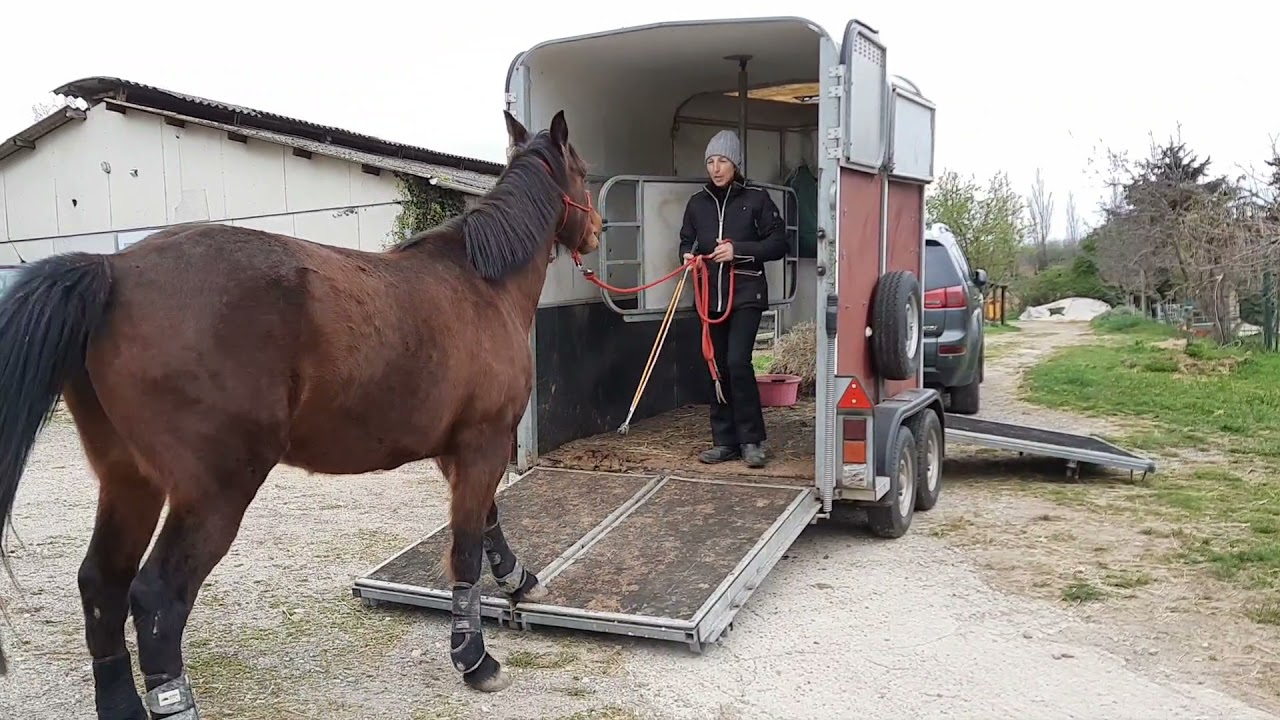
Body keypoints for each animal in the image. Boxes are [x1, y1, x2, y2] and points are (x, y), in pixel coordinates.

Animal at [0, 109, 600, 718]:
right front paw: (474, 660)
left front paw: (519, 580)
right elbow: (467, 545)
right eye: (583, 173)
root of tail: (113, 268)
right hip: (213, 494)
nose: (596, 230)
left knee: (102, 586)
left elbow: (486, 522)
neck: (481, 283)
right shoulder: (483, 441)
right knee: (156, 599)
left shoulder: (458, 449)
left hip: (129, 481)